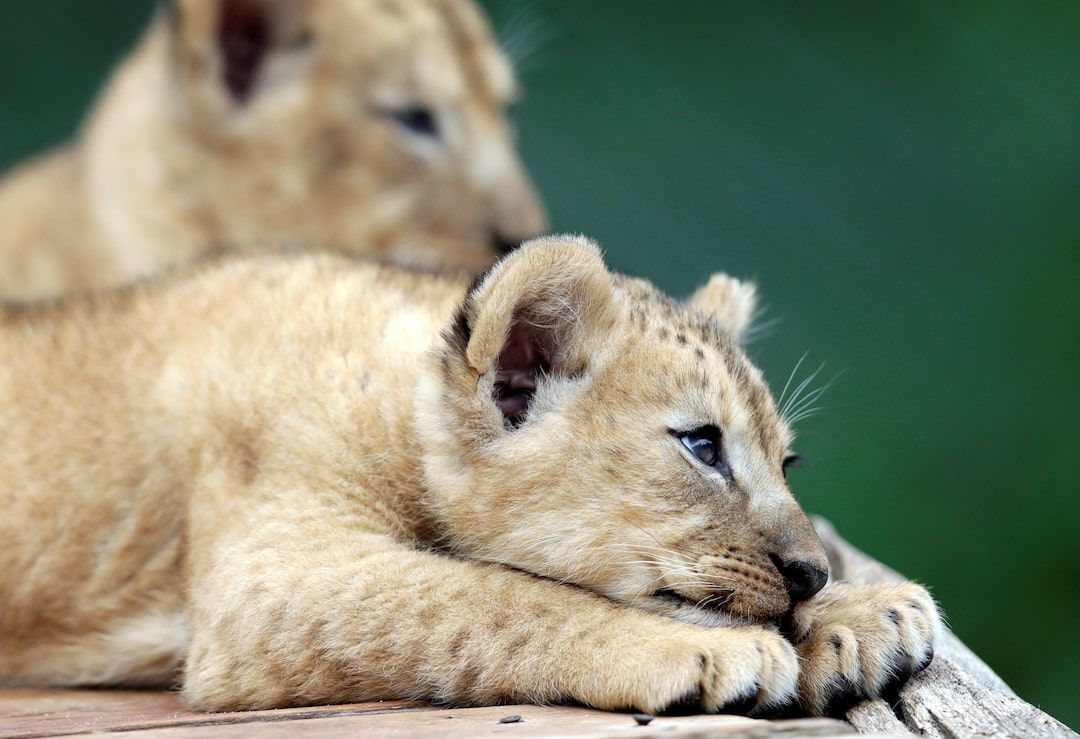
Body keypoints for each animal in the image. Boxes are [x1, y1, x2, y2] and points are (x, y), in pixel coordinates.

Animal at [0, 236, 940, 716]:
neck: (399, 401)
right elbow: (492, 597)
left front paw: (865, 615)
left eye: (787, 461)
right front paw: (707, 648)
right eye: (702, 445)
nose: (811, 572)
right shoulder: (264, 587)